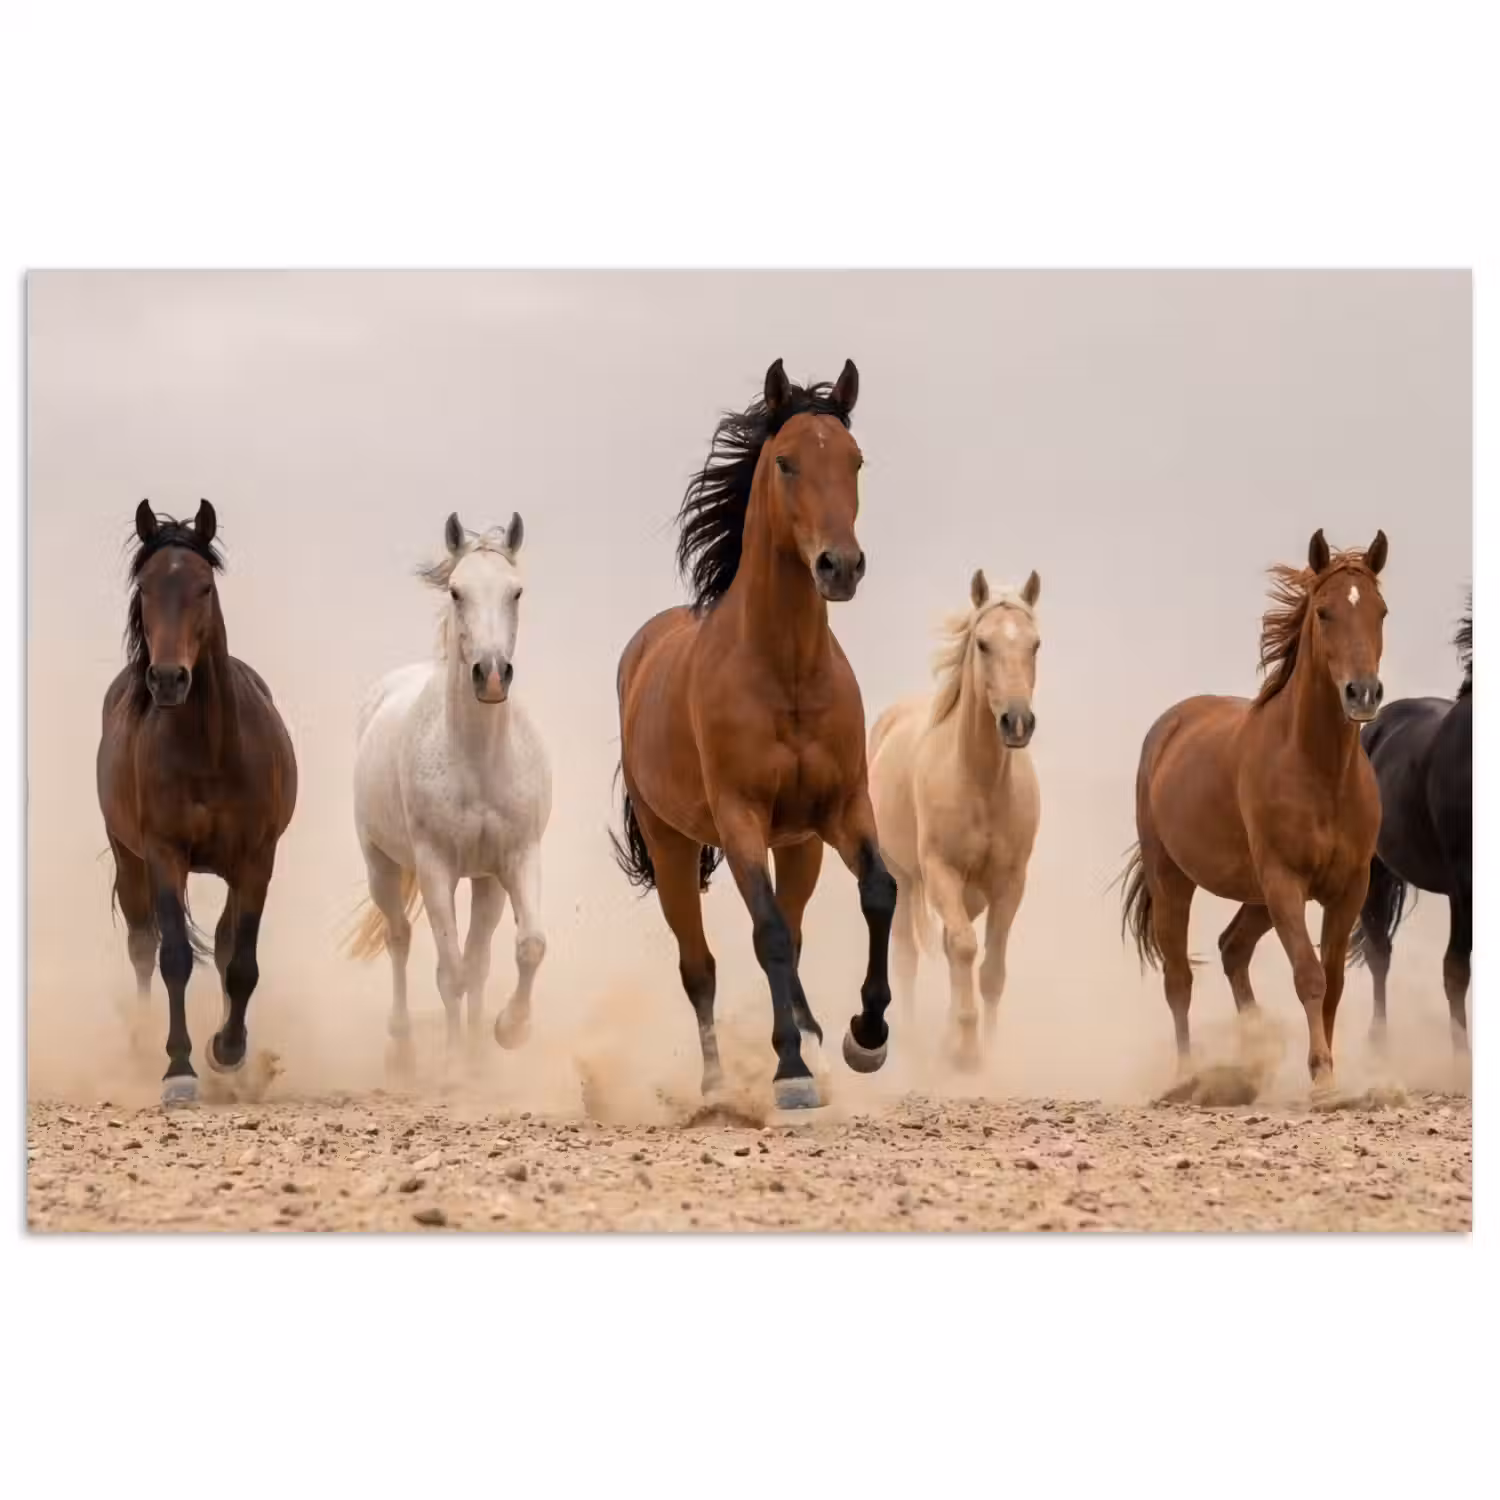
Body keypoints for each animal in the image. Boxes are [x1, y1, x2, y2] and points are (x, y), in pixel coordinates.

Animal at [96, 500, 298, 1105]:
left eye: (204, 587)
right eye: (144, 587)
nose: (167, 678)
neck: (209, 751)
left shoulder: (256, 860)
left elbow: (242, 963)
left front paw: (227, 1052)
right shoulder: (164, 855)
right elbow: (174, 958)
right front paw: (178, 1069)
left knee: (229, 942)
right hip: (128, 859)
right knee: (143, 944)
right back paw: (142, 1043)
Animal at [345, 512, 550, 1070]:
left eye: (516, 591)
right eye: (457, 592)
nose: (492, 675)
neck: (477, 761)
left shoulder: (515, 859)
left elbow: (526, 947)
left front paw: (506, 1034)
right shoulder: (436, 866)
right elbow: (450, 972)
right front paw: (456, 1068)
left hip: (482, 882)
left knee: (477, 959)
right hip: (382, 866)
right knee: (399, 938)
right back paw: (403, 1051)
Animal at [610, 358, 898, 1110]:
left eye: (856, 461)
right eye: (788, 463)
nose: (840, 566)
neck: (786, 673)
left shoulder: (842, 810)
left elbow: (878, 893)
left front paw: (865, 1037)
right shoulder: (738, 818)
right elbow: (763, 933)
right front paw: (790, 1072)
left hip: (799, 846)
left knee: (793, 932)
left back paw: (818, 1036)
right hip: (674, 846)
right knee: (701, 966)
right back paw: (718, 1085)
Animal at [867, 567, 1042, 1070]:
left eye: (1035, 644)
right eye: (982, 643)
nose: (1017, 722)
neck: (979, 782)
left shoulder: (1009, 884)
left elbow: (992, 970)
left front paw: (986, 1047)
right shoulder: (941, 873)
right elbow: (963, 948)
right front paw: (964, 1050)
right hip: (904, 879)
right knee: (907, 956)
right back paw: (909, 1038)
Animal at [1119, 528, 1389, 1092]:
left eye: (1381, 611)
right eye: (1325, 612)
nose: (1363, 693)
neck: (1319, 770)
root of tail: (1170, 724)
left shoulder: (1348, 889)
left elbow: (1332, 982)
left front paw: (1328, 1073)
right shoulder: (1285, 881)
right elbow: (1308, 975)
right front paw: (1322, 1079)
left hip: (1256, 896)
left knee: (1231, 948)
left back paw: (1251, 1055)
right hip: (1173, 877)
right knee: (1179, 978)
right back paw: (1187, 1076)